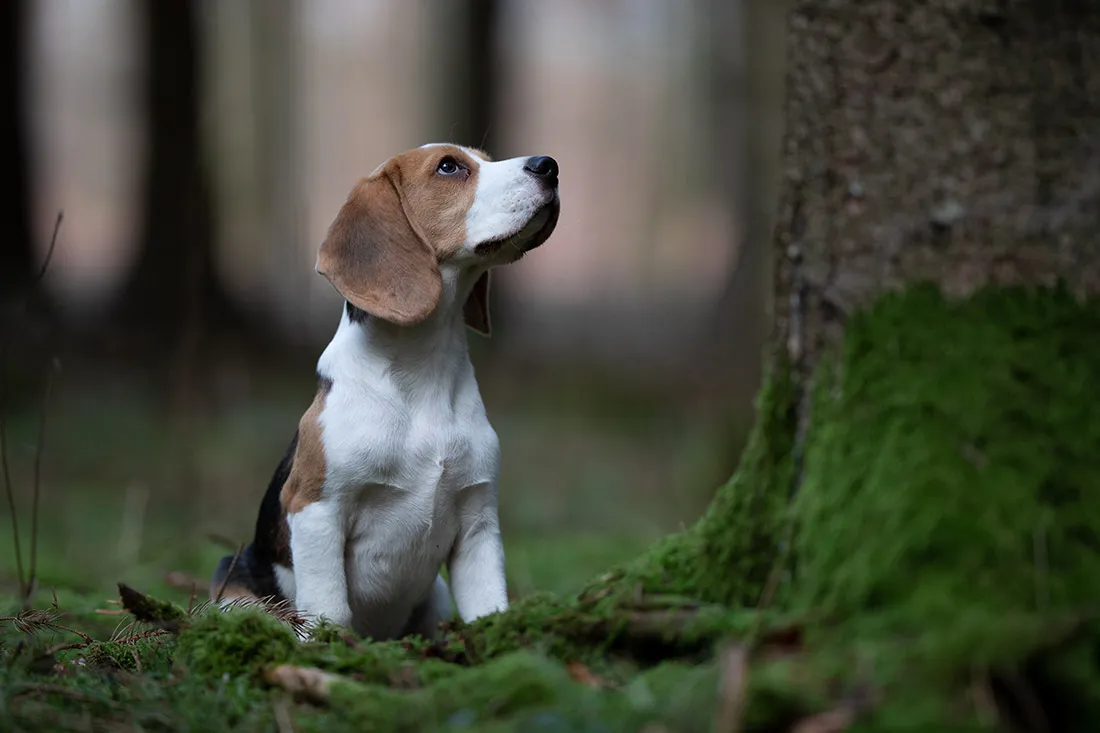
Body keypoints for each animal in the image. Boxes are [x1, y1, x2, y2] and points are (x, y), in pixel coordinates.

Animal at [211, 144, 563, 638]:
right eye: (449, 167)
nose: (549, 166)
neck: (424, 373)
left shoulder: (478, 523)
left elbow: (488, 606)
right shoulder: (315, 508)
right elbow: (331, 610)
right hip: (231, 581)